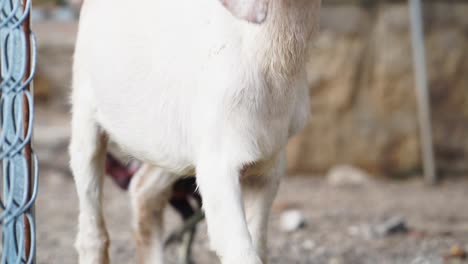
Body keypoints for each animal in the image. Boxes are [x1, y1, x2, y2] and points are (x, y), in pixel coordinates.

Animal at [69, 0, 322, 264]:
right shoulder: (218, 166)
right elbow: (240, 251)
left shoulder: (268, 164)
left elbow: (259, 245)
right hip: (85, 115)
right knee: (92, 232)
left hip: (169, 146)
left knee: (144, 190)